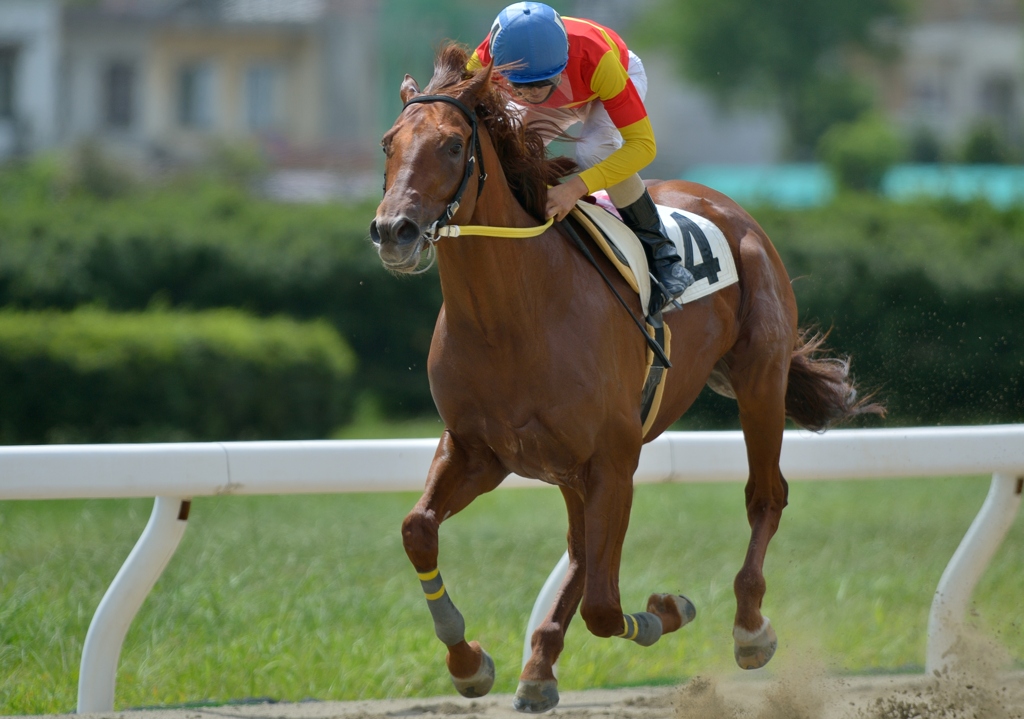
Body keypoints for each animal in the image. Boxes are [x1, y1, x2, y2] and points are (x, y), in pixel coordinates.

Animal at [370, 45, 882, 714]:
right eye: (388, 143)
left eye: (454, 146)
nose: (393, 231)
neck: (510, 317)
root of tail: (729, 207)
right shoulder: (479, 449)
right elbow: (419, 529)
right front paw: (468, 661)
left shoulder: (613, 459)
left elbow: (607, 609)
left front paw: (669, 608)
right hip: (566, 464)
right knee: (579, 547)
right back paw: (539, 665)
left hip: (759, 382)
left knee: (764, 495)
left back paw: (750, 627)